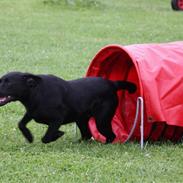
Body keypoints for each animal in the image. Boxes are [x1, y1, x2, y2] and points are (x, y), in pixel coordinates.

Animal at [0, 72, 137, 144]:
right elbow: (21, 124)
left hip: (101, 120)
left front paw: (58, 134)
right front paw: (29, 136)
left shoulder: (57, 119)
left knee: (111, 136)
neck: (36, 92)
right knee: (87, 135)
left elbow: (46, 137)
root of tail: (112, 83)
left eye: (8, 82)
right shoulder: (32, 112)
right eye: (1, 80)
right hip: (82, 120)